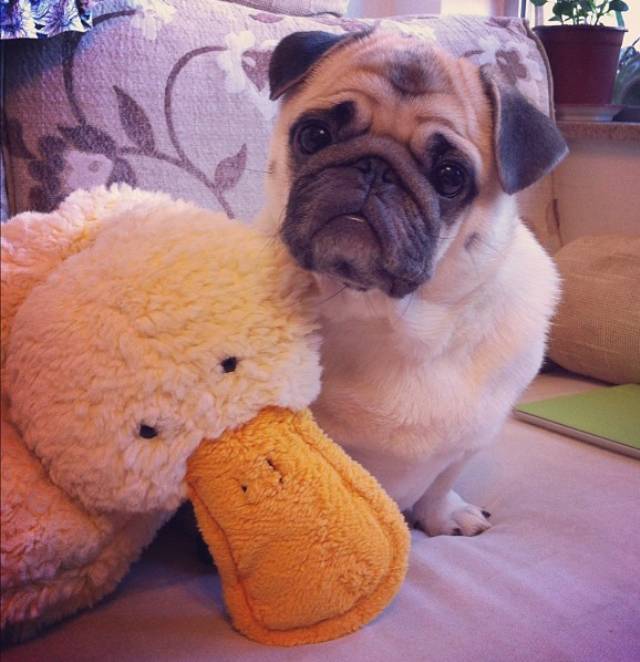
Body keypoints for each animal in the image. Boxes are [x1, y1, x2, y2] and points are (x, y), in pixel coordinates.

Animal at [255, 32, 564, 540]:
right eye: (314, 136)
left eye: (450, 177)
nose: (375, 168)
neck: (389, 320)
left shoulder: (472, 439)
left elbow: (441, 481)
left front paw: (442, 516)